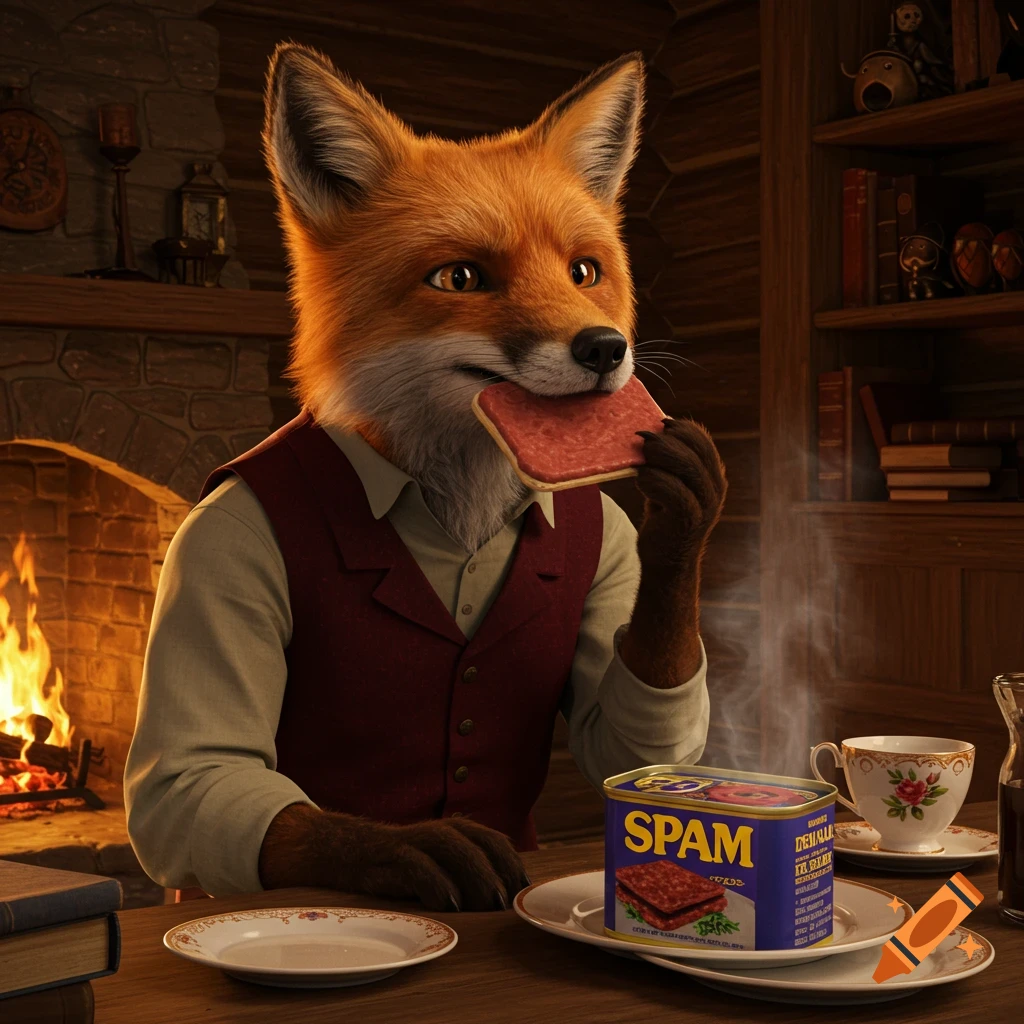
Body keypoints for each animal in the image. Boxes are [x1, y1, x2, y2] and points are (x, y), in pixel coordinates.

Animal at [226, 43, 726, 910]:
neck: (461, 504)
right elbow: (256, 793)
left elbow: (627, 752)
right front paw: (408, 846)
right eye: (460, 279)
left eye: (584, 270)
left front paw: (683, 509)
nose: (605, 349)